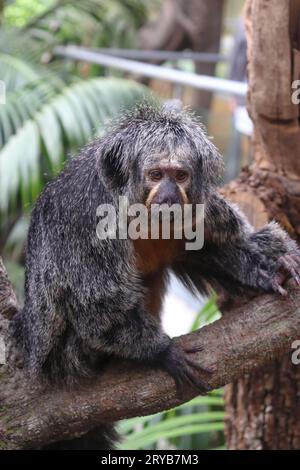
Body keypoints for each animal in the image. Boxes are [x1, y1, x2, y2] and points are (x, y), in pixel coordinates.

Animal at [12, 102, 300, 448]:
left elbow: (216, 246)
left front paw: (271, 271)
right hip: (67, 358)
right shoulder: (90, 212)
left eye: (180, 176)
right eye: (156, 175)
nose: (168, 194)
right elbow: (96, 302)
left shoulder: (199, 206)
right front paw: (162, 351)